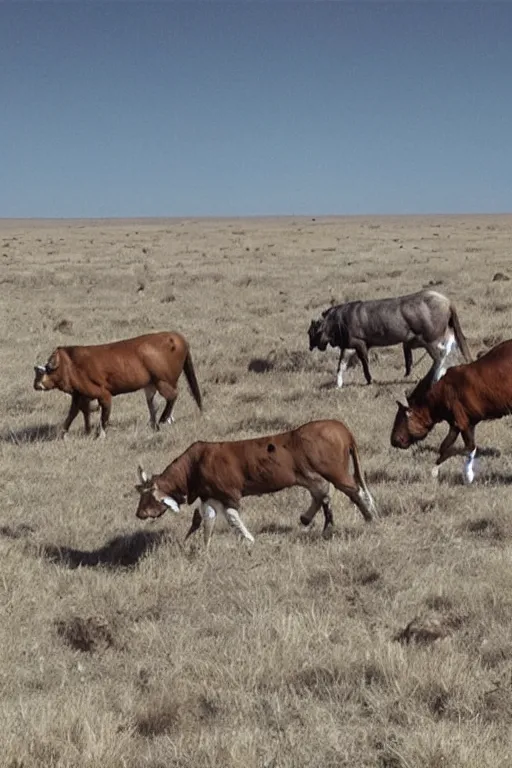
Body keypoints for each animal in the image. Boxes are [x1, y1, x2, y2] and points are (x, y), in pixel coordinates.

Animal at [33, 332, 202, 438]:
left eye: (42, 372)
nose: (36, 385)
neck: (70, 364)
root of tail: (176, 337)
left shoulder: (103, 394)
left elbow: (103, 416)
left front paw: (100, 434)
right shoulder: (79, 395)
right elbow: (73, 414)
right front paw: (65, 433)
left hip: (162, 381)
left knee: (172, 396)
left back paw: (163, 418)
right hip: (152, 384)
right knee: (153, 403)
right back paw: (156, 423)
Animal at [134, 416, 378, 548]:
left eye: (147, 497)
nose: (139, 514)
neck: (195, 463)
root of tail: (341, 428)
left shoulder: (228, 495)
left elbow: (232, 517)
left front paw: (249, 538)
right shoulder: (209, 496)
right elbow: (208, 520)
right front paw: (206, 546)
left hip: (335, 472)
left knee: (353, 490)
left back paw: (369, 517)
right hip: (310, 474)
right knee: (322, 493)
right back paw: (314, 521)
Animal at [390, 340, 512, 484]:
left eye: (402, 417)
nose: (393, 441)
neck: (438, 392)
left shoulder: (463, 423)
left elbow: (468, 448)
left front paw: (468, 475)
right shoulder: (456, 424)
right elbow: (444, 446)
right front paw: (435, 469)